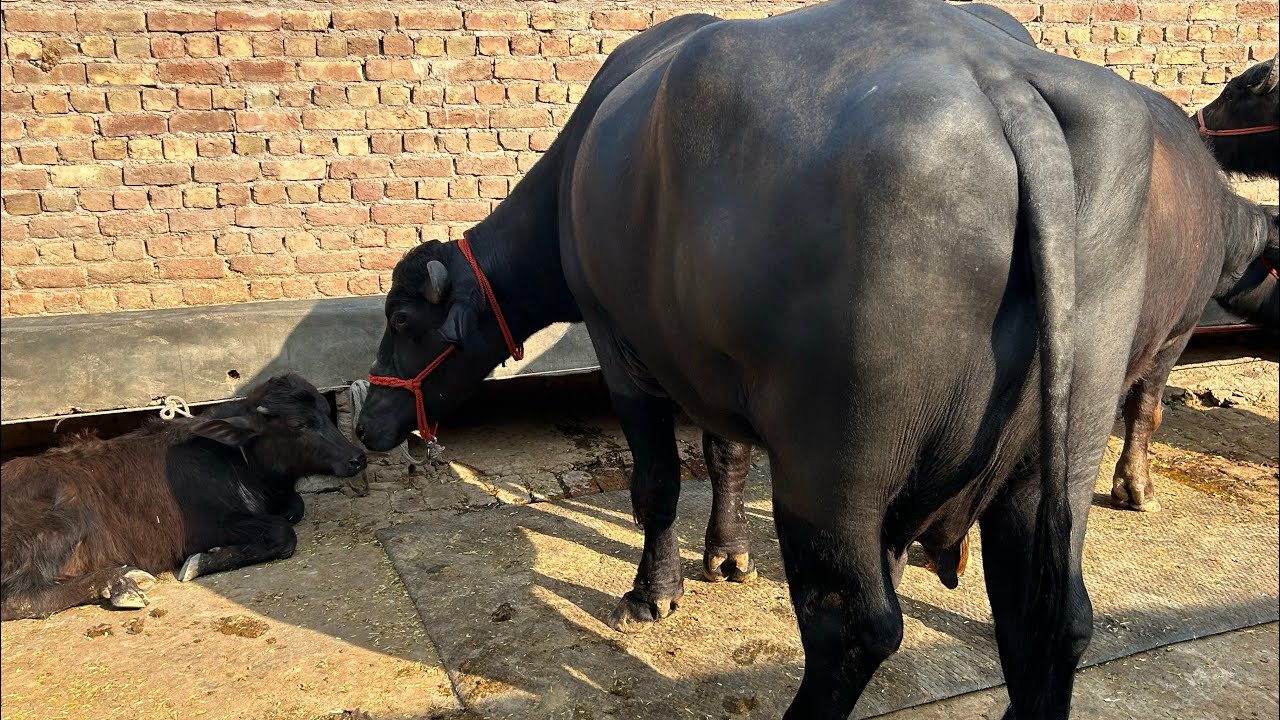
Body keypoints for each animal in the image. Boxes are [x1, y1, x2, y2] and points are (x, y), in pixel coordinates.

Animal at [1, 374, 366, 621]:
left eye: (326, 412)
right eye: (297, 424)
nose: (356, 458)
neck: (234, 461)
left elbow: (295, 509)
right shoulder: (206, 528)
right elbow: (282, 531)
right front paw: (201, 561)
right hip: (61, 527)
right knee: (18, 598)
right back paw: (120, 583)